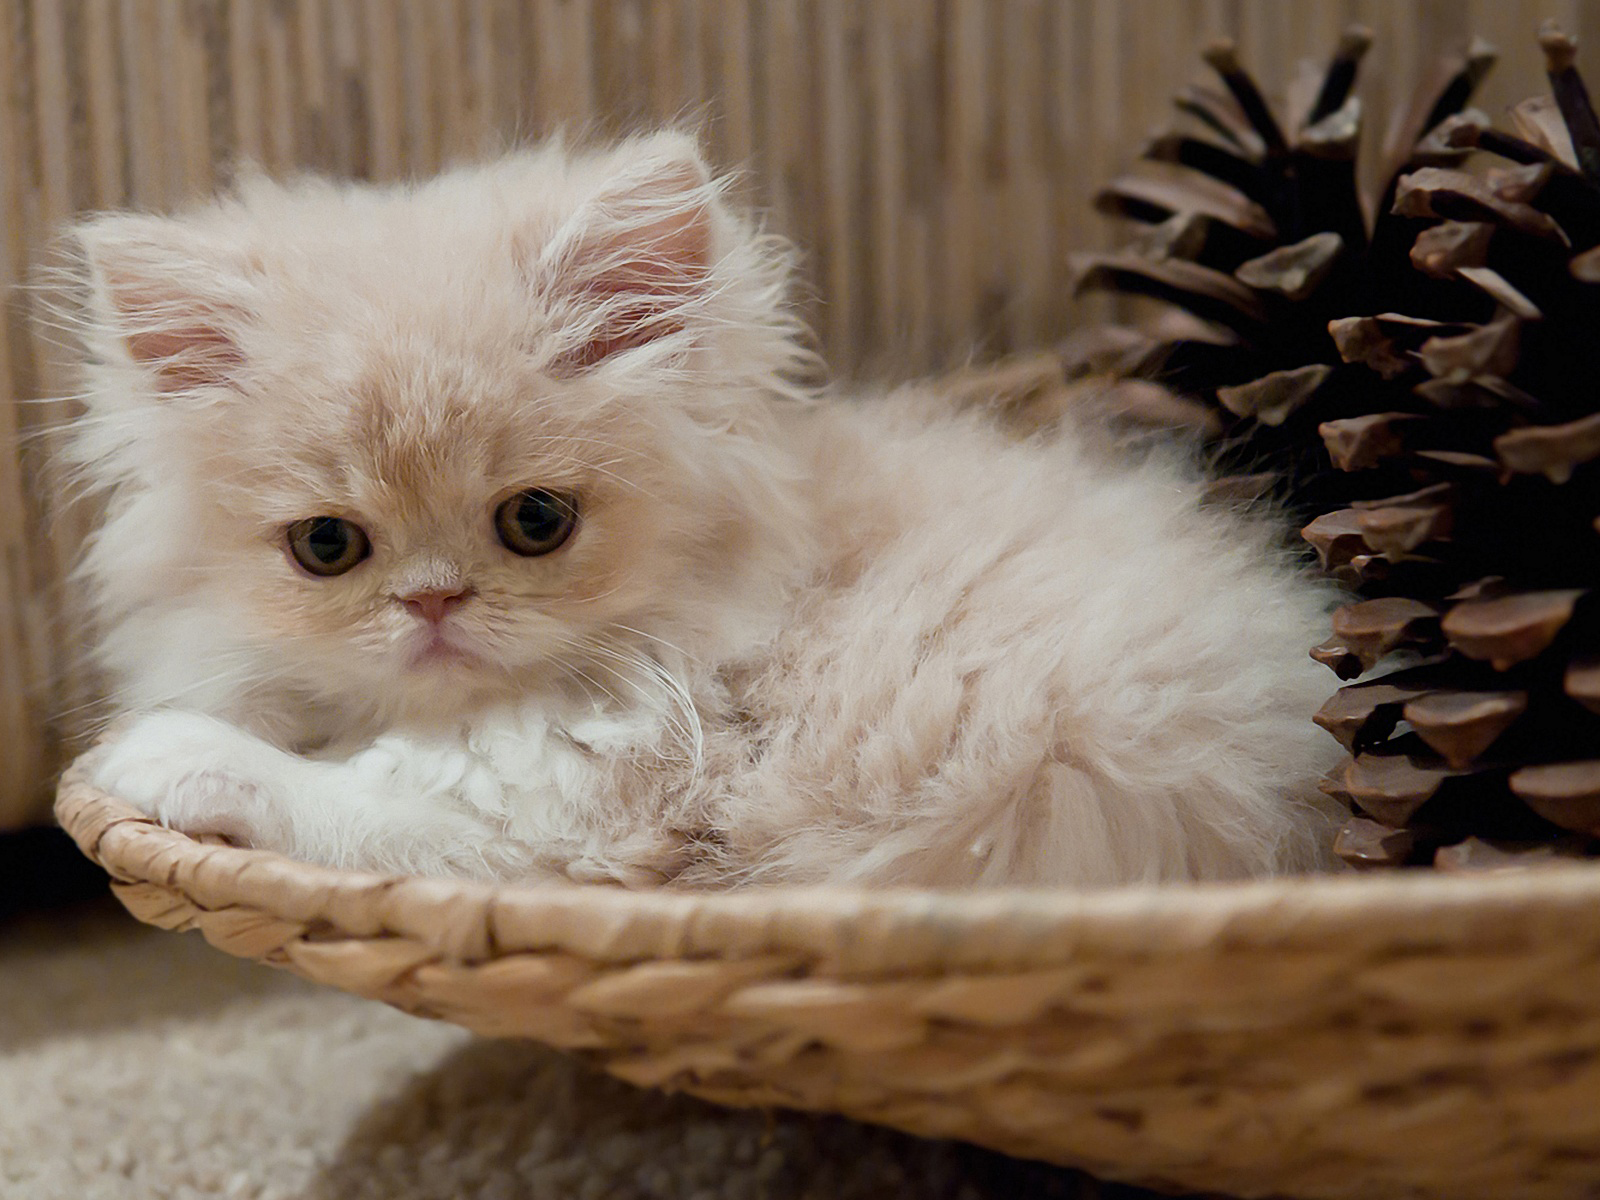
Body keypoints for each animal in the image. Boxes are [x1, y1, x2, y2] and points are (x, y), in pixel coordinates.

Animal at [56, 133, 1344, 896]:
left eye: (535, 523)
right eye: (328, 547)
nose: (434, 603)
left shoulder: (573, 818)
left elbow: (350, 796)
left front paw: (163, 754)